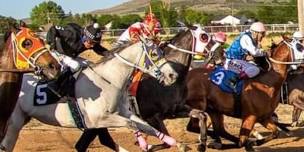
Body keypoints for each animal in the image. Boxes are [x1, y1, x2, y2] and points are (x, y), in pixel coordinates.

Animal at [0, 39, 183, 151]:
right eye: (155, 54)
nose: (173, 75)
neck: (108, 80)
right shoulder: (98, 119)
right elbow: (132, 124)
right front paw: (145, 144)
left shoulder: (122, 111)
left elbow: (145, 126)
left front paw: (176, 143)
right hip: (14, 123)